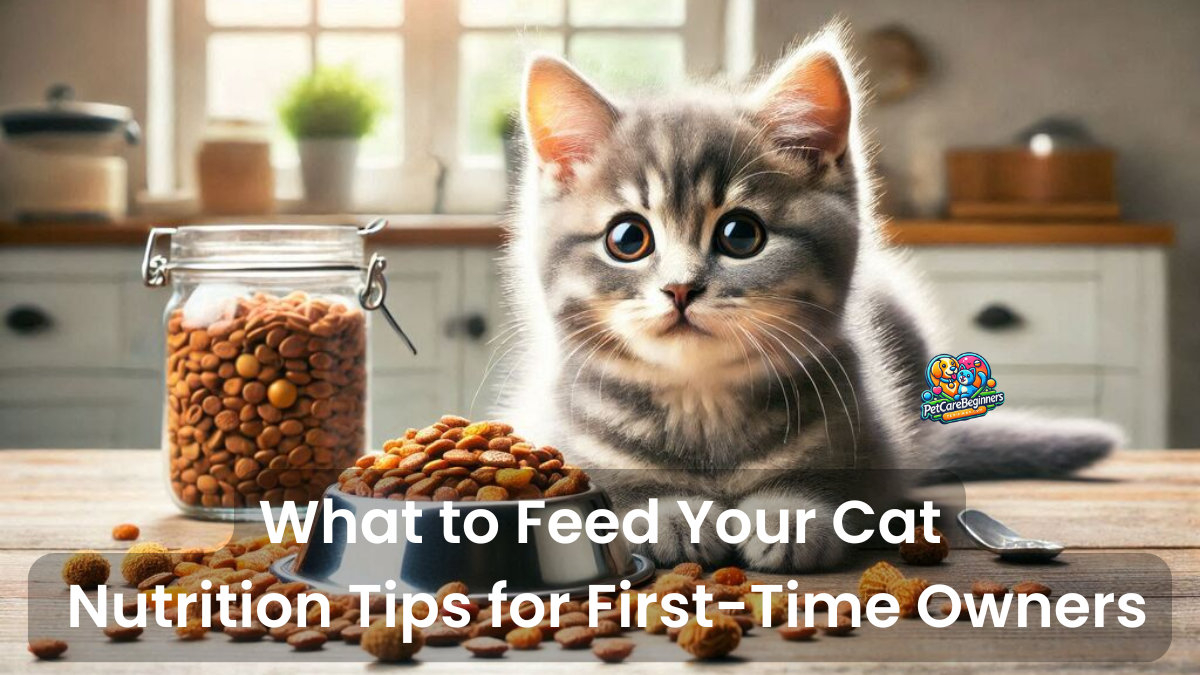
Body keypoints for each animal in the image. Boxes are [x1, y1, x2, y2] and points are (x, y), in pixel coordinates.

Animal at [492, 27, 1118, 571]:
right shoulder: (556, 427)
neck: (703, 405)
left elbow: (837, 487)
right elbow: (612, 486)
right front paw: (666, 512)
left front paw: (789, 517)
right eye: (627, 239)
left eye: (740, 234)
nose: (680, 288)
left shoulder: (870, 440)